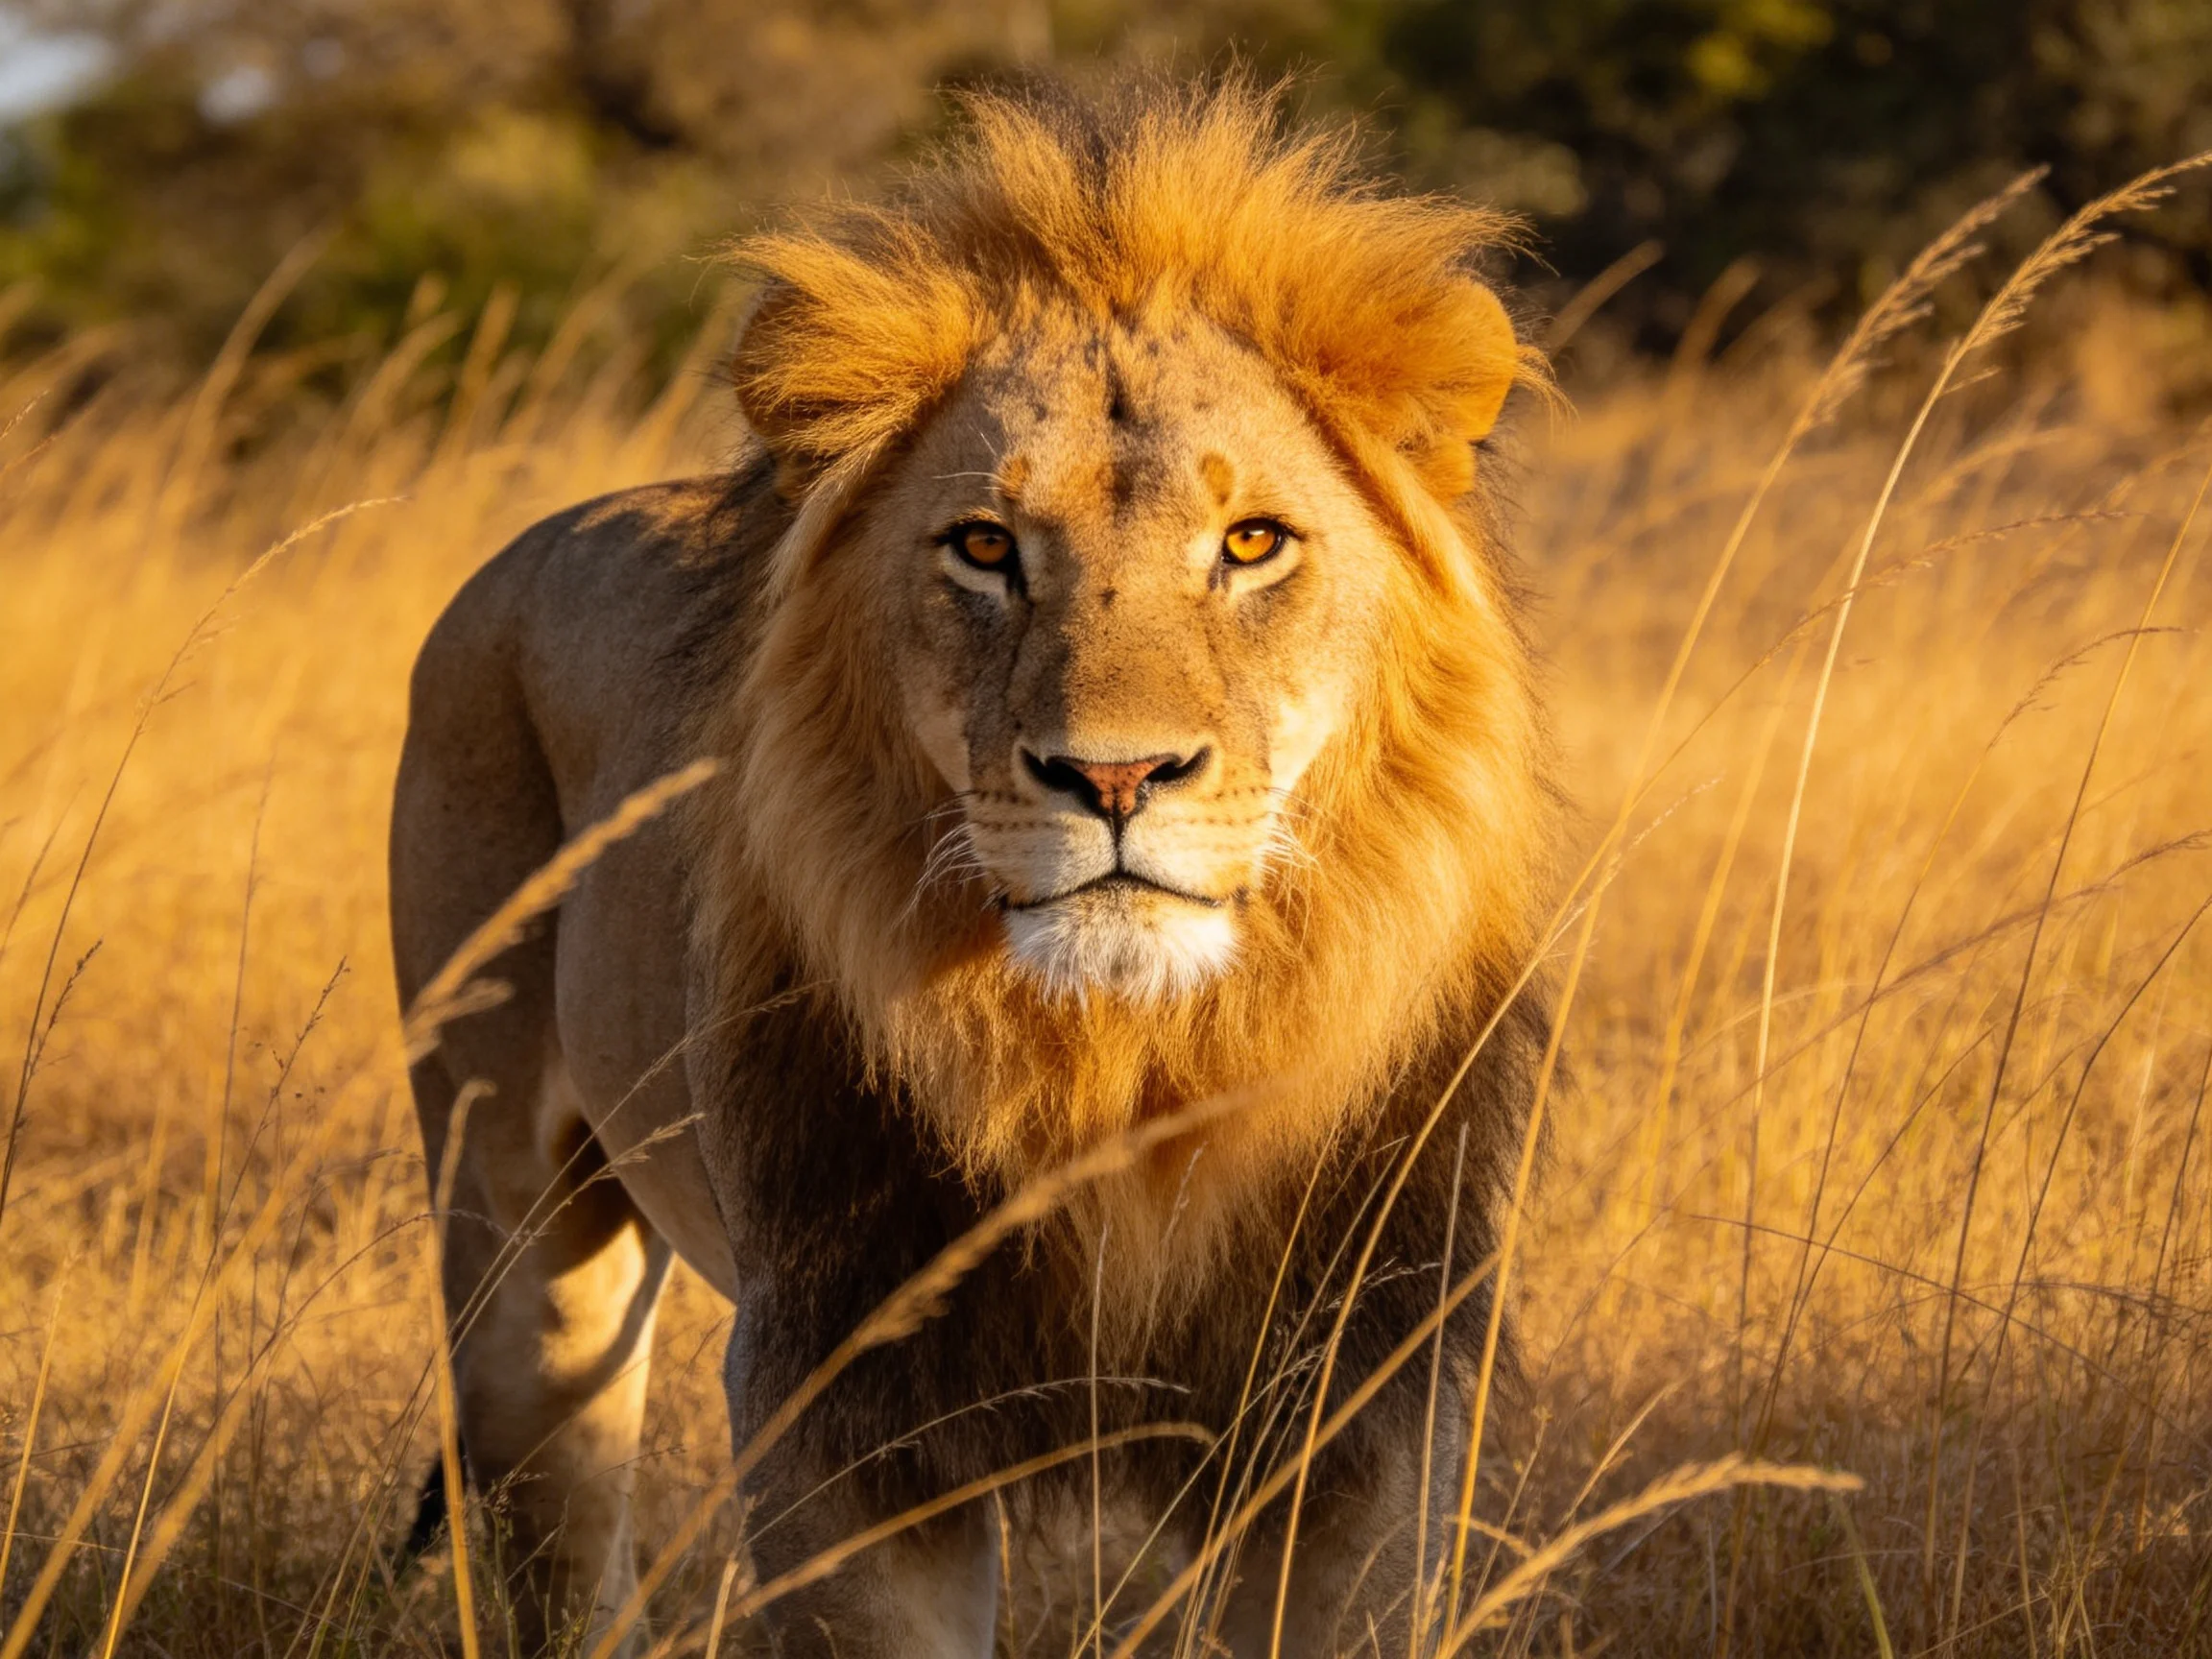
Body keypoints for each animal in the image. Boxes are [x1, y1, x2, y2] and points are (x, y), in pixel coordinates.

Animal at [390, 77, 1555, 1658]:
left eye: (1252, 541)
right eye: (986, 547)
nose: (1115, 778)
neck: (1125, 1064)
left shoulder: (1363, 1408)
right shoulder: (845, 1396)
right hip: (514, 1248)